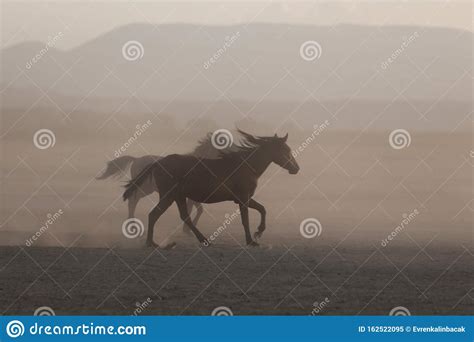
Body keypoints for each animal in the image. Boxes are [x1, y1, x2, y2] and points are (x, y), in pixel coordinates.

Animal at [122, 130, 300, 247]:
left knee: (184, 217)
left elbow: (262, 209)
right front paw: (252, 239)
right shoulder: (243, 199)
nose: (296, 168)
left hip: (178, 196)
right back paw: (151, 242)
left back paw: (202, 239)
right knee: (153, 214)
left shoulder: (243, 198)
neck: (245, 166)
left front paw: (259, 232)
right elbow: (246, 219)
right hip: (168, 195)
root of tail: (158, 162)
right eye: (286, 150)